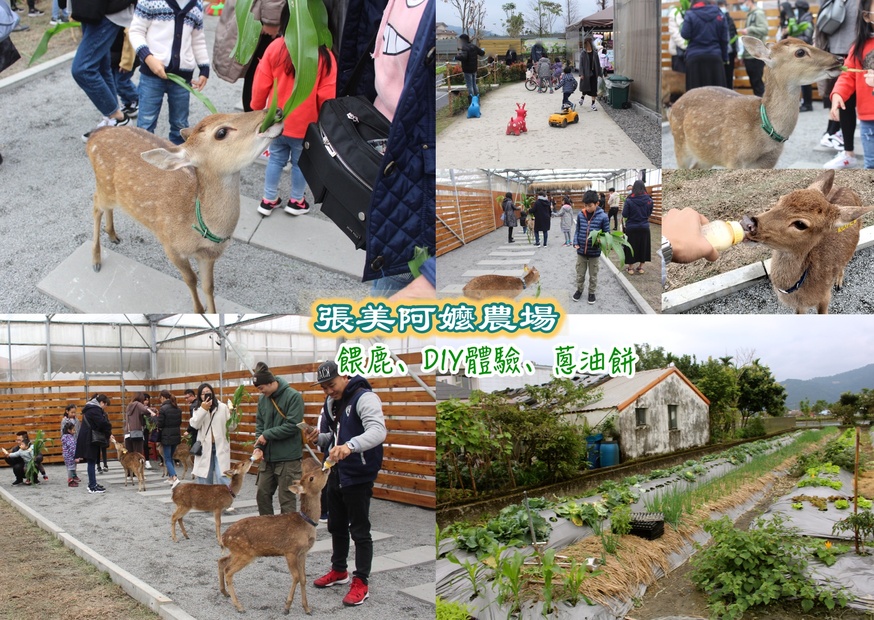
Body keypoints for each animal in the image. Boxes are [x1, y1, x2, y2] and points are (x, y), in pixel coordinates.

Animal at [87, 109, 282, 312]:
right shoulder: (171, 246)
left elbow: (209, 286)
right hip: (104, 185)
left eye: (228, 113)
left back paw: (113, 235)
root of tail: (93, 136)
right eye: (221, 132)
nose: (275, 112)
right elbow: (190, 279)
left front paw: (212, 314)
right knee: (95, 203)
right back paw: (96, 260)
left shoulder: (208, 256)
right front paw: (198, 311)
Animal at [217, 458, 328, 612]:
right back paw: (239, 606)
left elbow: (303, 578)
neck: (306, 523)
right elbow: (296, 577)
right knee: (228, 570)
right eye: (311, 477)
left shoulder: (303, 553)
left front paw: (307, 608)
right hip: (244, 552)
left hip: (238, 551)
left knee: (221, 561)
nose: (326, 469)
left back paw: (224, 592)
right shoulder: (290, 551)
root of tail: (224, 537)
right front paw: (287, 606)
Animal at [668, 38, 836, 170]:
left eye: (809, 42)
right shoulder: (732, 158)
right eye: (800, 52)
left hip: (704, 155)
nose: (838, 59)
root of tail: (672, 107)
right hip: (679, 145)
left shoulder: (768, 164)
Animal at [740, 171, 868, 312]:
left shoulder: (825, 297)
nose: (748, 224)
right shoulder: (799, 306)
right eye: (781, 198)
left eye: (800, 224)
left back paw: (838, 282)